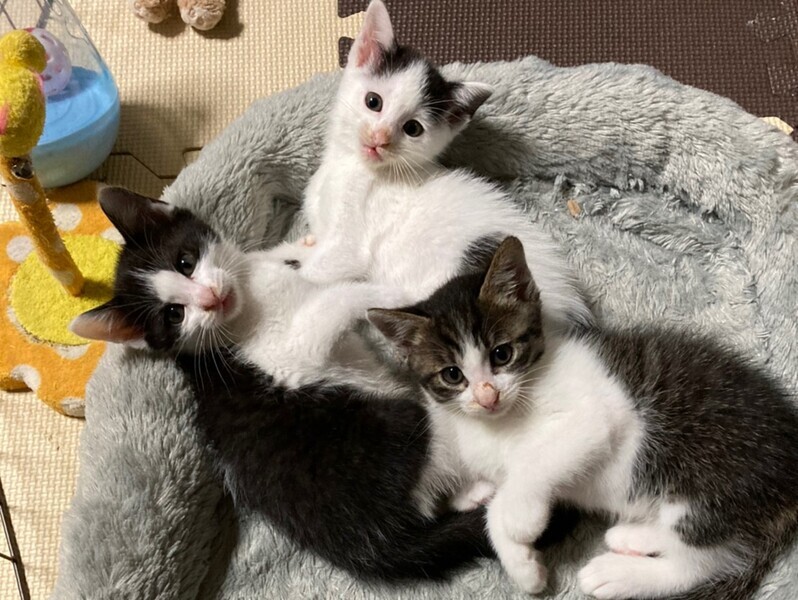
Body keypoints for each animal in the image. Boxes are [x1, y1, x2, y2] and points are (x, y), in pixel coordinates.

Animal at [298, 0, 592, 335]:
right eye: (373, 101)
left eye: (412, 128)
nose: (380, 139)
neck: (351, 165)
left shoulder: (348, 248)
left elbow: (318, 270)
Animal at [369, 236, 798, 598]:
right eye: (452, 375)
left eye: (502, 354)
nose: (487, 396)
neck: (501, 421)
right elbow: (492, 504)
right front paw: (524, 567)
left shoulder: (593, 419)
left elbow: (531, 468)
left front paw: (520, 521)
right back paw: (633, 537)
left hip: (707, 482)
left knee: (699, 562)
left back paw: (615, 574)